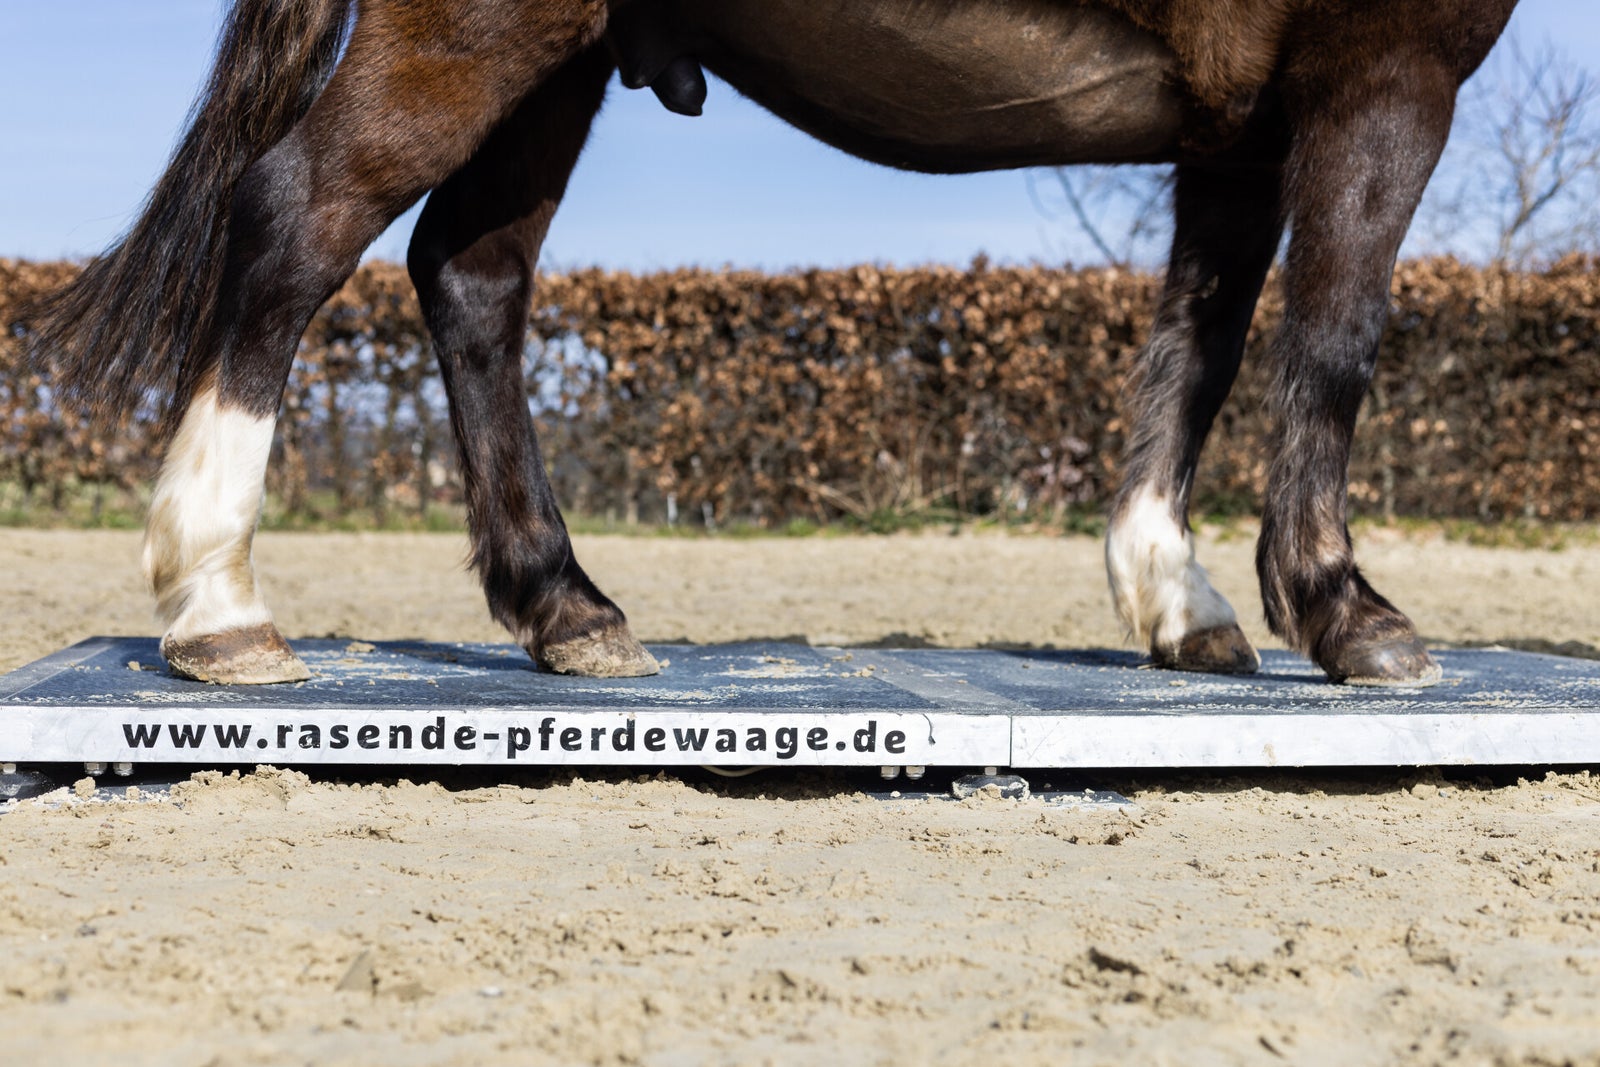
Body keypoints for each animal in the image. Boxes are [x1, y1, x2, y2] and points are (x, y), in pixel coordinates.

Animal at [32, 0, 1520, 687]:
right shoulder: (1381, 72)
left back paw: (567, 606)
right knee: (295, 224)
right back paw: (218, 602)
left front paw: (1178, 602)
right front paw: (1347, 609)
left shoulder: (1234, 134)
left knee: (472, 276)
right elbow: (1335, 336)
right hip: (477, 34)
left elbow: (1196, 348)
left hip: (558, 62)